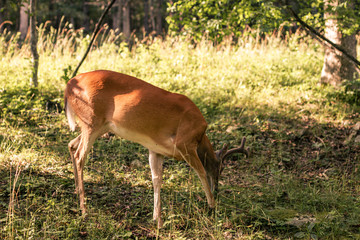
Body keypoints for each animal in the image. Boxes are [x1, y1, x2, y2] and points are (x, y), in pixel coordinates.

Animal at [64, 70, 248, 229]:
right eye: (221, 167)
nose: (216, 190)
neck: (200, 137)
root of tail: (69, 85)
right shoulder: (184, 143)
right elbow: (201, 171)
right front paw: (212, 206)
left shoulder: (156, 150)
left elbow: (156, 180)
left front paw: (157, 220)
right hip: (91, 121)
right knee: (80, 156)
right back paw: (84, 209)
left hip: (99, 126)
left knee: (72, 144)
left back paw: (76, 191)